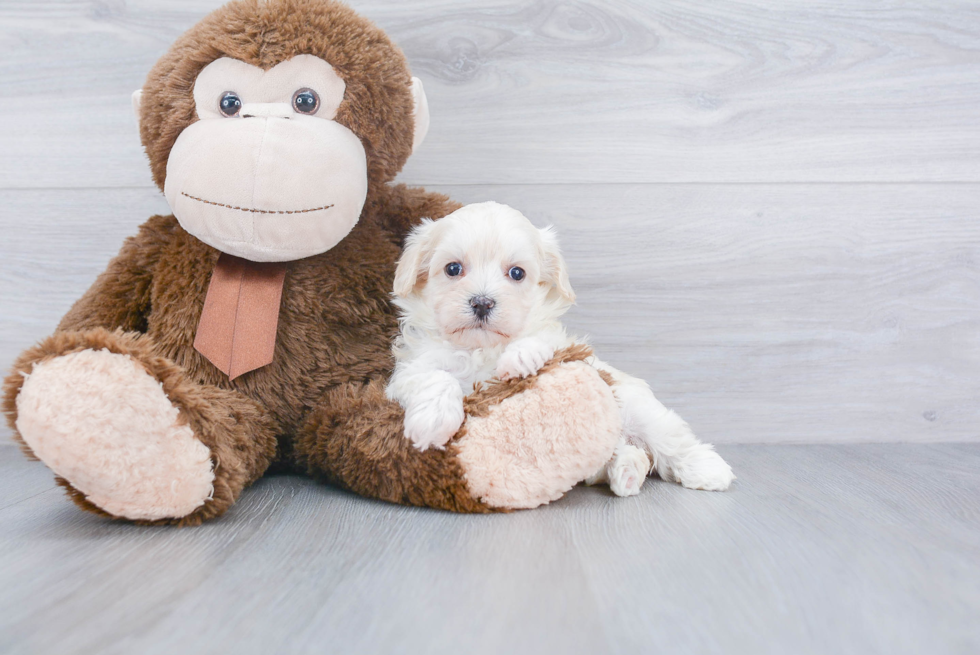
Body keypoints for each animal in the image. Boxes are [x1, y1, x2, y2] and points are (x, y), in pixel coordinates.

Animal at [386, 202, 732, 494]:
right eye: (453, 269)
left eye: (517, 273)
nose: (482, 302)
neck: (481, 348)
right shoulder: (408, 372)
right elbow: (435, 377)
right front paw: (432, 421)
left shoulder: (563, 347)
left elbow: (543, 341)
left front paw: (521, 355)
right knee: (629, 454)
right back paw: (626, 472)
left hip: (637, 407)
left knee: (670, 440)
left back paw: (707, 469)